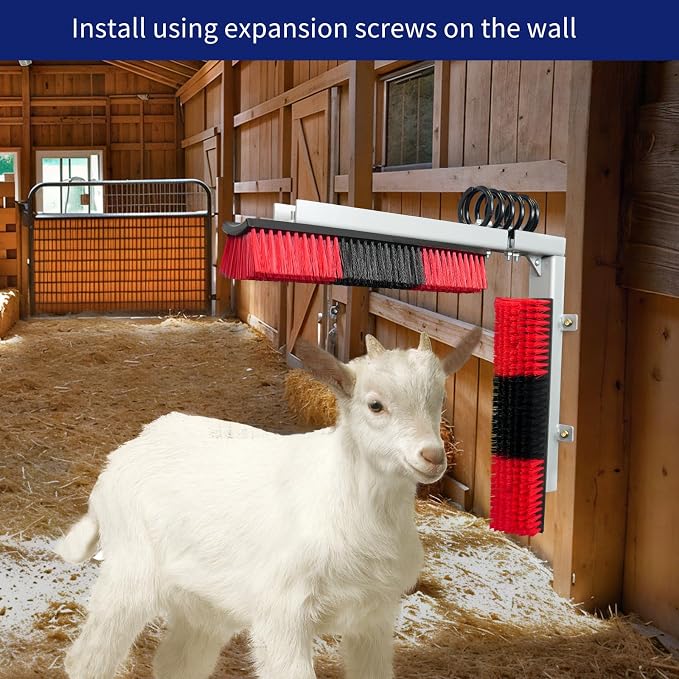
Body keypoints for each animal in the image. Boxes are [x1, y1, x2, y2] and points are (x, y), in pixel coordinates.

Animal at [56, 326, 482, 679]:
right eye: (375, 405)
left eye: (439, 399)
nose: (433, 456)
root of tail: (117, 461)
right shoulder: (283, 613)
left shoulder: (373, 618)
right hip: (131, 573)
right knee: (87, 659)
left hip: (206, 603)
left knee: (176, 663)